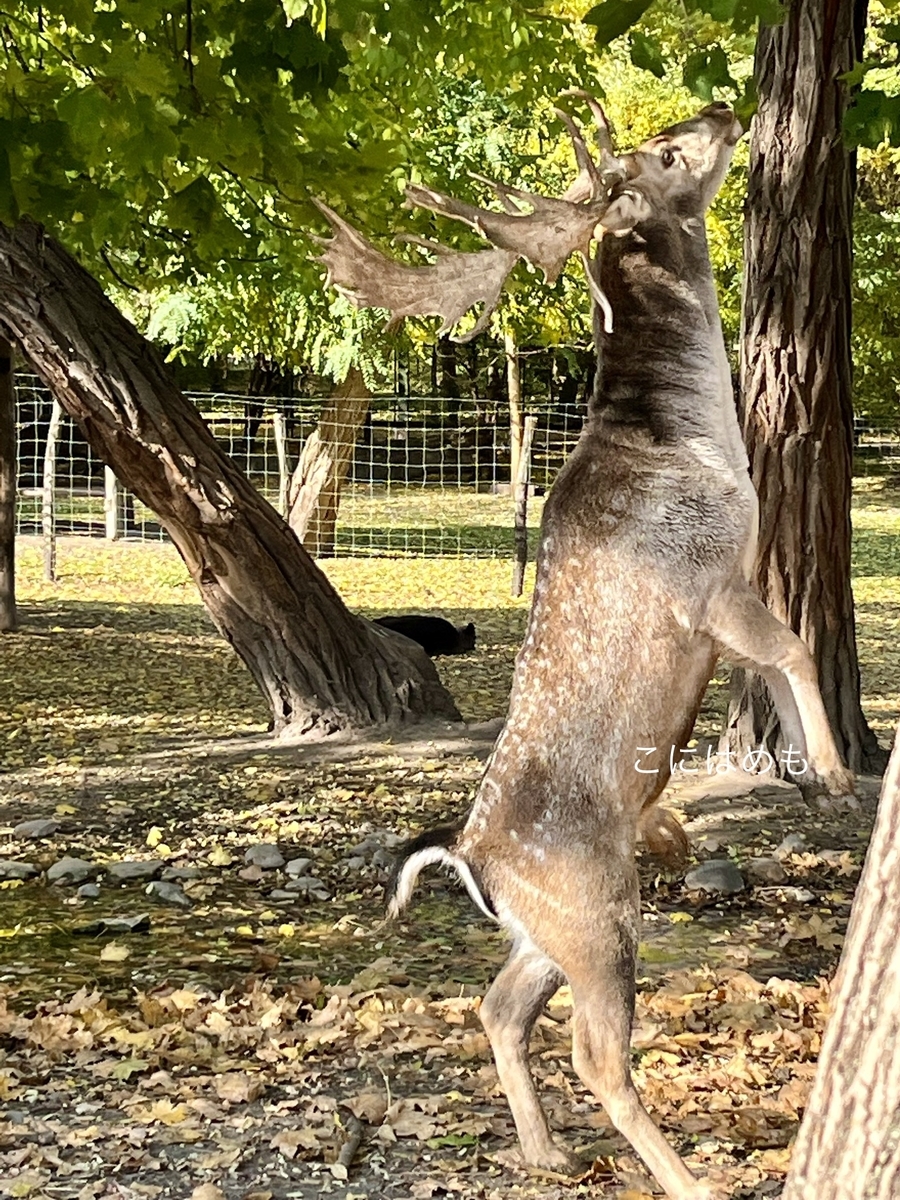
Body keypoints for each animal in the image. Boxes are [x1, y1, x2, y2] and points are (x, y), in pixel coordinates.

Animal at [319, 103, 859, 1200]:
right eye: (666, 153)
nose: (726, 110)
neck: (701, 447)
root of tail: (473, 856)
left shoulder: (735, 584)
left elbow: (774, 665)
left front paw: (796, 776)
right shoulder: (706, 583)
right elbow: (792, 648)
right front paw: (833, 771)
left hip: (549, 929)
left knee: (496, 1005)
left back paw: (542, 1148)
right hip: (598, 919)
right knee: (596, 1052)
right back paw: (688, 1180)